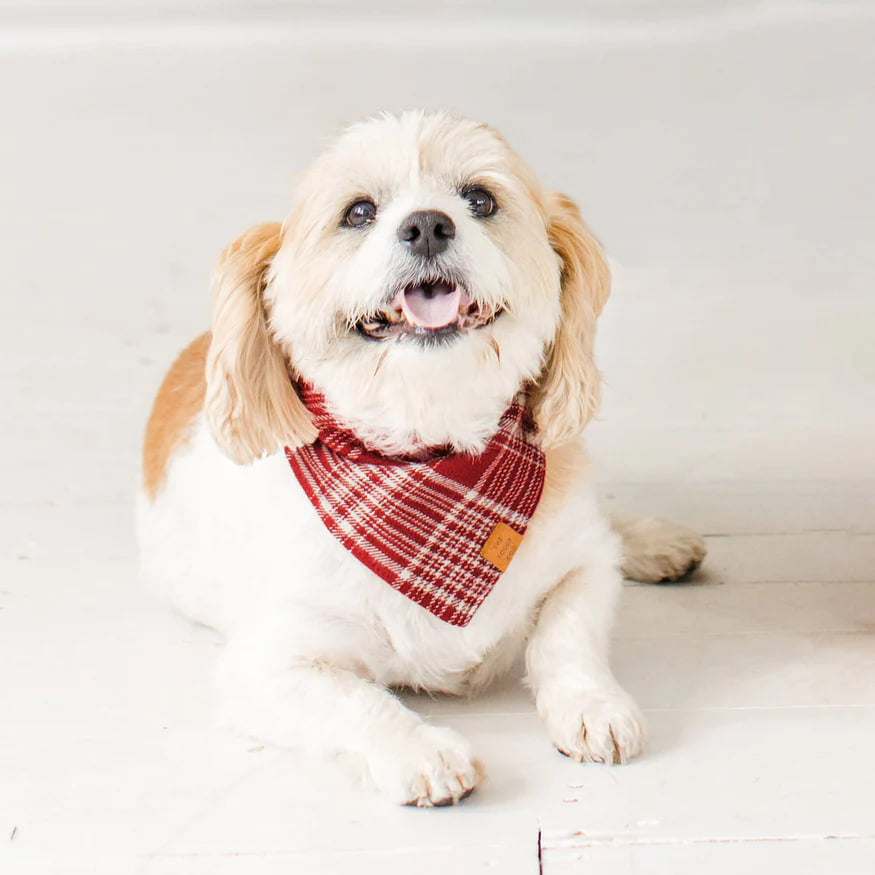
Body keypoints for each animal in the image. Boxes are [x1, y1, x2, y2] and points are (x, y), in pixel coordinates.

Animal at [139, 109, 712, 808]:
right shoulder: (268, 663)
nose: (429, 224)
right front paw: (420, 751)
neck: (432, 458)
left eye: (480, 199)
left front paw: (591, 704)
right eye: (359, 212)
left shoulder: (585, 563)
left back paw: (655, 542)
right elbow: (355, 700)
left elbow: (566, 633)